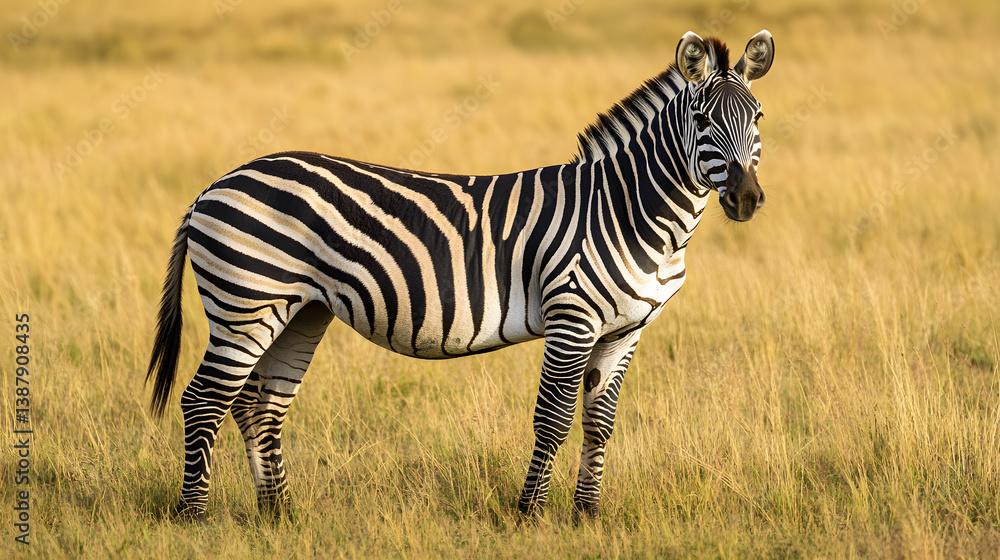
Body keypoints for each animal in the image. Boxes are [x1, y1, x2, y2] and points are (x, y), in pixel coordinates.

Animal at [146, 30, 774, 520]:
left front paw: (588, 515)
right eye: (702, 119)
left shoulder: (626, 329)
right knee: (204, 399)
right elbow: (553, 420)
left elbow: (599, 423)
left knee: (259, 403)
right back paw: (194, 516)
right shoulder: (572, 316)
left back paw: (279, 514)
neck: (630, 211)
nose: (746, 200)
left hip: (300, 309)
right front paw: (529, 515)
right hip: (246, 300)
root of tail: (216, 184)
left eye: (758, 118)